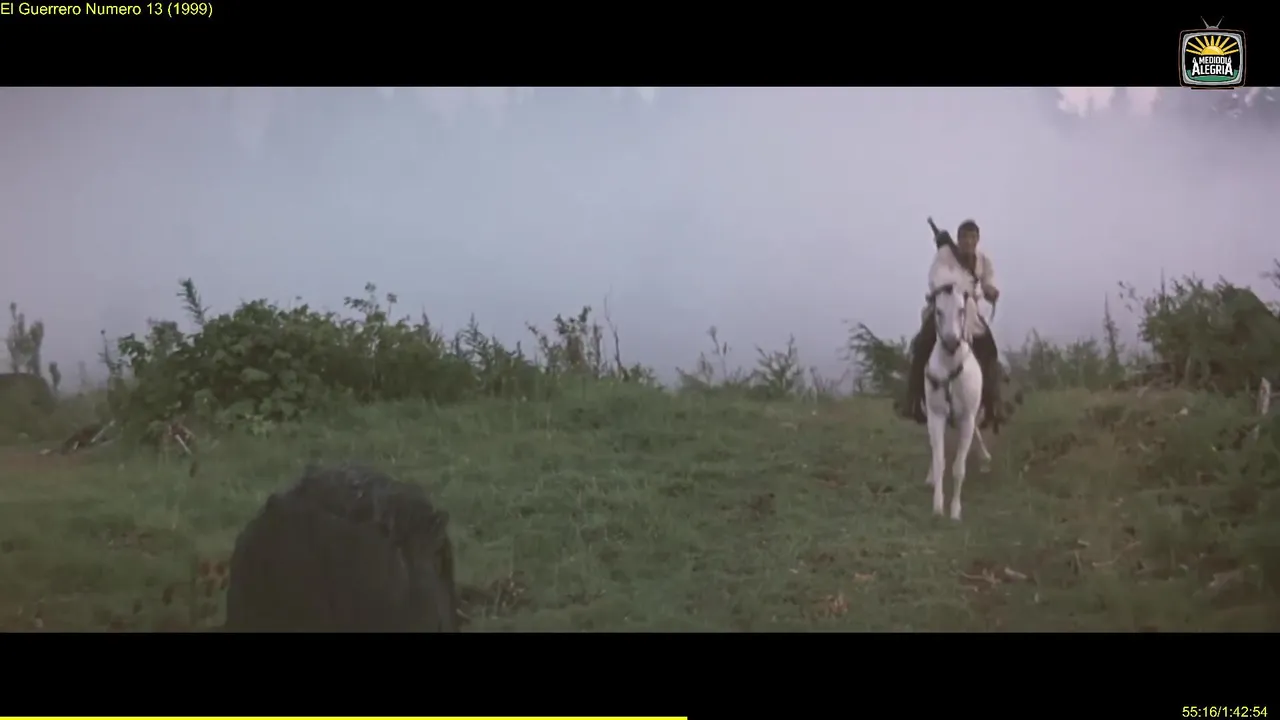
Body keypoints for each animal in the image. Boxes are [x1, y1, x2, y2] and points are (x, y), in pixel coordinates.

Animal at [922, 272, 991, 521]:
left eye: (962, 309)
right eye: (938, 311)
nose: (952, 342)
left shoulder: (967, 419)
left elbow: (958, 469)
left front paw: (955, 511)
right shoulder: (936, 416)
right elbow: (939, 460)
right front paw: (937, 507)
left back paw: (985, 457)